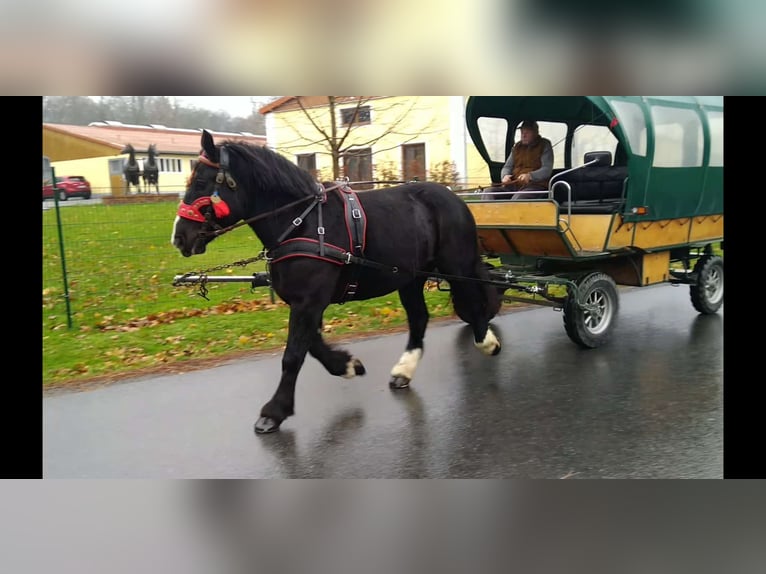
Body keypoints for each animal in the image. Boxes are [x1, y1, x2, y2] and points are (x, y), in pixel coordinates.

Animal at [170, 132, 500, 436]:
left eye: (201, 183)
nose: (179, 237)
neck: (301, 223)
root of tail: (452, 197)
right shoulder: (305, 302)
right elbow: (312, 346)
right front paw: (347, 365)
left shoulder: (309, 301)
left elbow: (293, 355)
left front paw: (274, 412)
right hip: (411, 276)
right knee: (419, 317)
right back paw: (404, 370)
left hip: (456, 265)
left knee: (474, 302)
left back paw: (486, 341)